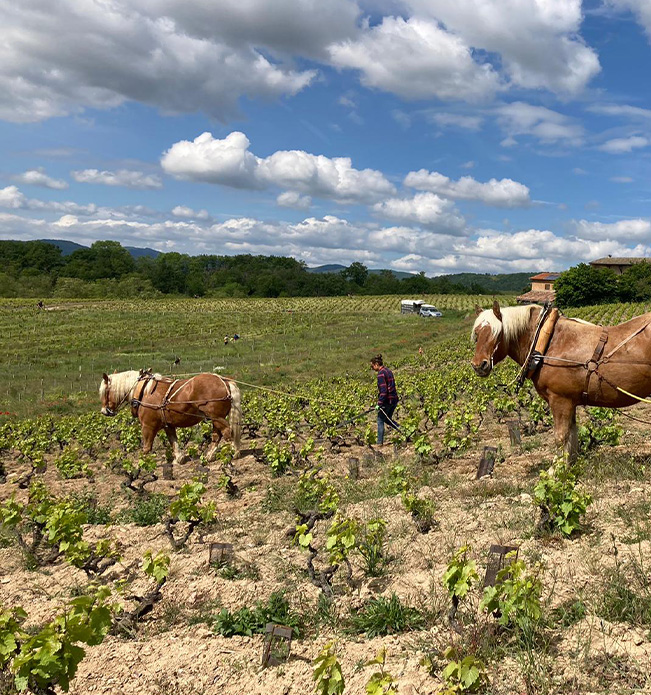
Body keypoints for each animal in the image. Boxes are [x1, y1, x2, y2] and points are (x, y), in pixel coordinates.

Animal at [100, 372, 243, 464]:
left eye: (105, 392)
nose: (104, 411)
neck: (143, 392)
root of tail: (224, 381)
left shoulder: (148, 426)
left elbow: (146, 447)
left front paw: (142, 463)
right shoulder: (168, 425)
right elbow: (173, 440)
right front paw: (179, 458)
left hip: (216, 417)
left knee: (227, 432)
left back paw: (233, 452)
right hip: (215, 418)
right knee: (217, 435)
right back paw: (209, 456)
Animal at [472, 302, 651, 460]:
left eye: (497, 333)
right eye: (477, 334)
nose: (478, 365)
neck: (548, 341)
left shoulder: (560, 400)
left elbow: (561, 437)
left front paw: (557, 470)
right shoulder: (571, 401)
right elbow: (572, 436)